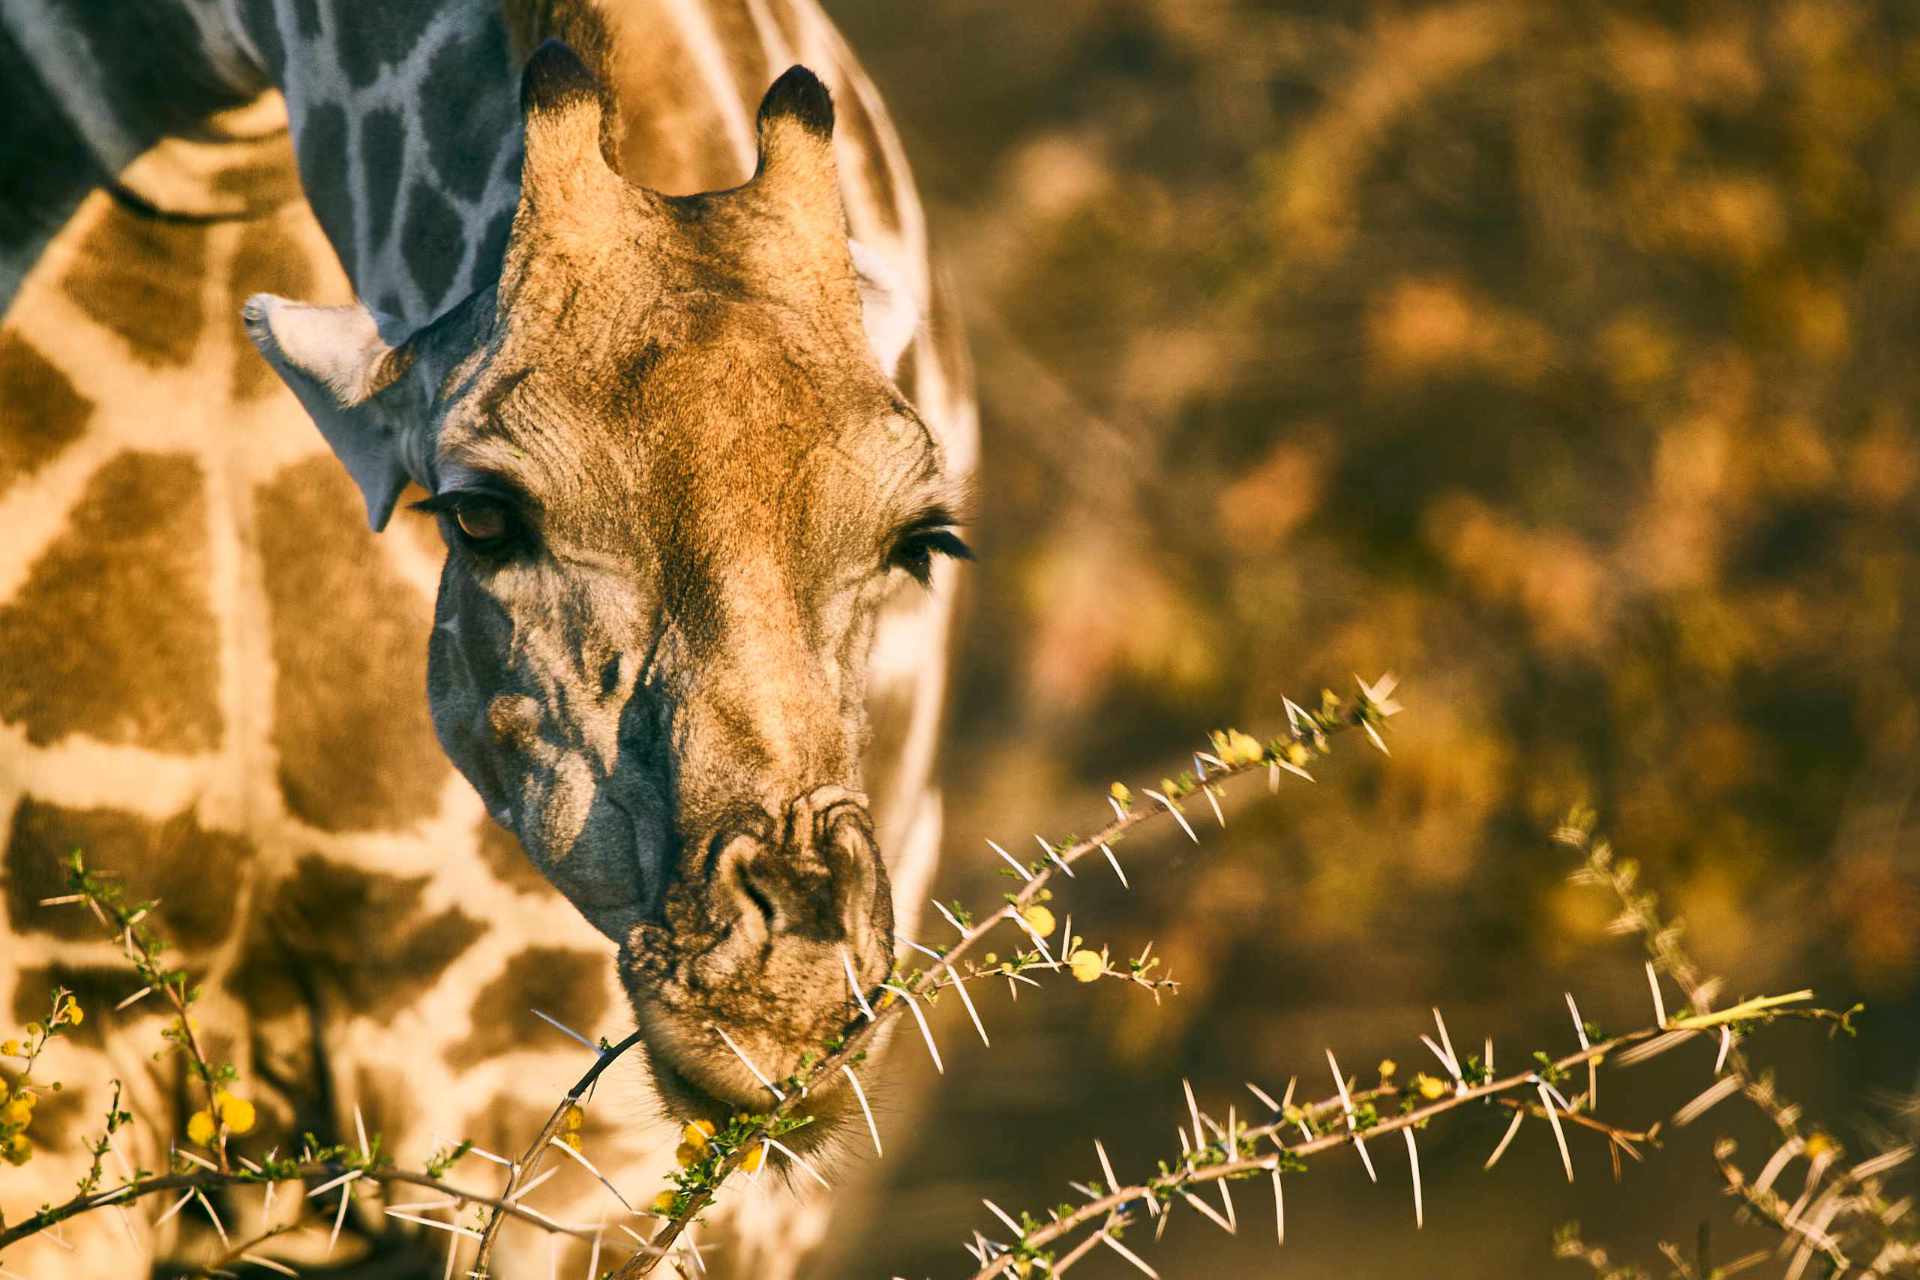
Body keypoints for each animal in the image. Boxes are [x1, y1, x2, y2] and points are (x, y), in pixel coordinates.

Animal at [0, 5, 967, 1274]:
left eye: (921, 540)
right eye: (481, 513)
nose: (784, 997)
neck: (201, 126)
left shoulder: (553, 1120)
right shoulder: (48, 1049)